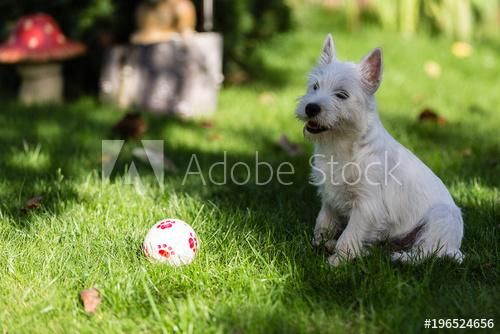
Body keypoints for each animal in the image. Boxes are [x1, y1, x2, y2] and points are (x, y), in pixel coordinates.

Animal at [294, 34, 462, 266]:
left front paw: (336, 261)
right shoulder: (330, 198)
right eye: (315, 87)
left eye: (341, 95)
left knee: (427, 251)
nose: (311, 108)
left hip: (440, 218)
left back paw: (400, 257)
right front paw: (318, 243)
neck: (341, 145)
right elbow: (324, 222)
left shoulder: (367, 205)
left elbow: (351, 234)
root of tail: (456, 246)